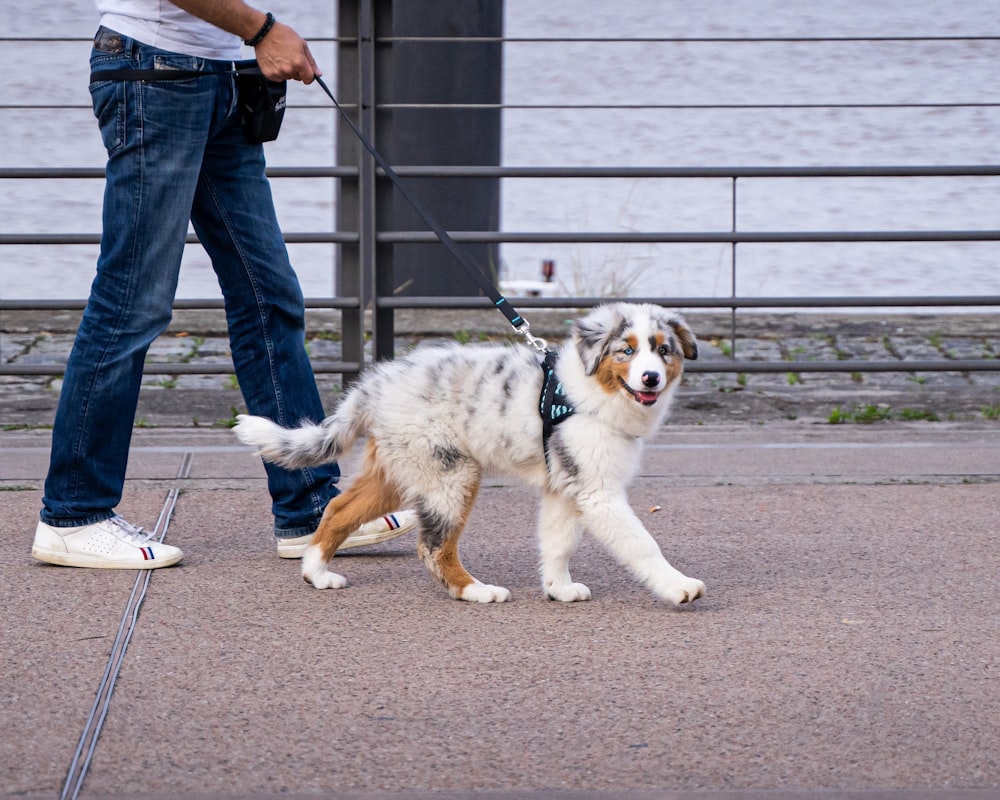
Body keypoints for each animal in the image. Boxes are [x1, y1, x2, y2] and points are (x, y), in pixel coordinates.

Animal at [233, 304, 704, 604]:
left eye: (664, 350)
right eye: (627, 350)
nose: (650, 378)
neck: (591, 391)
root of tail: (375, 386)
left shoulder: (566, 486)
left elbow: (558, 542)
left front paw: (559, 588)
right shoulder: (597, 491)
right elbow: (642, 544)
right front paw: (678, 586)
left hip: (402, 468)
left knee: (337, 508)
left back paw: (316, 571)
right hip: (450, 474)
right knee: (434, 547)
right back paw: (476, 590)